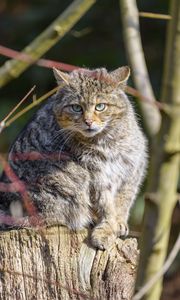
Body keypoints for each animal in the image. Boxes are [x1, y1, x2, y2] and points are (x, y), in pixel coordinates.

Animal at [0, 67, 147, 250]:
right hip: (70, 180)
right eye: (76, 108)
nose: (88, 121)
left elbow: (122, 202)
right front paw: (106, 229)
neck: (107, 141)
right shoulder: (96, 176)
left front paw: (118, 223)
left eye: (100, 106)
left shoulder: (132, 170)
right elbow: (105, 205)